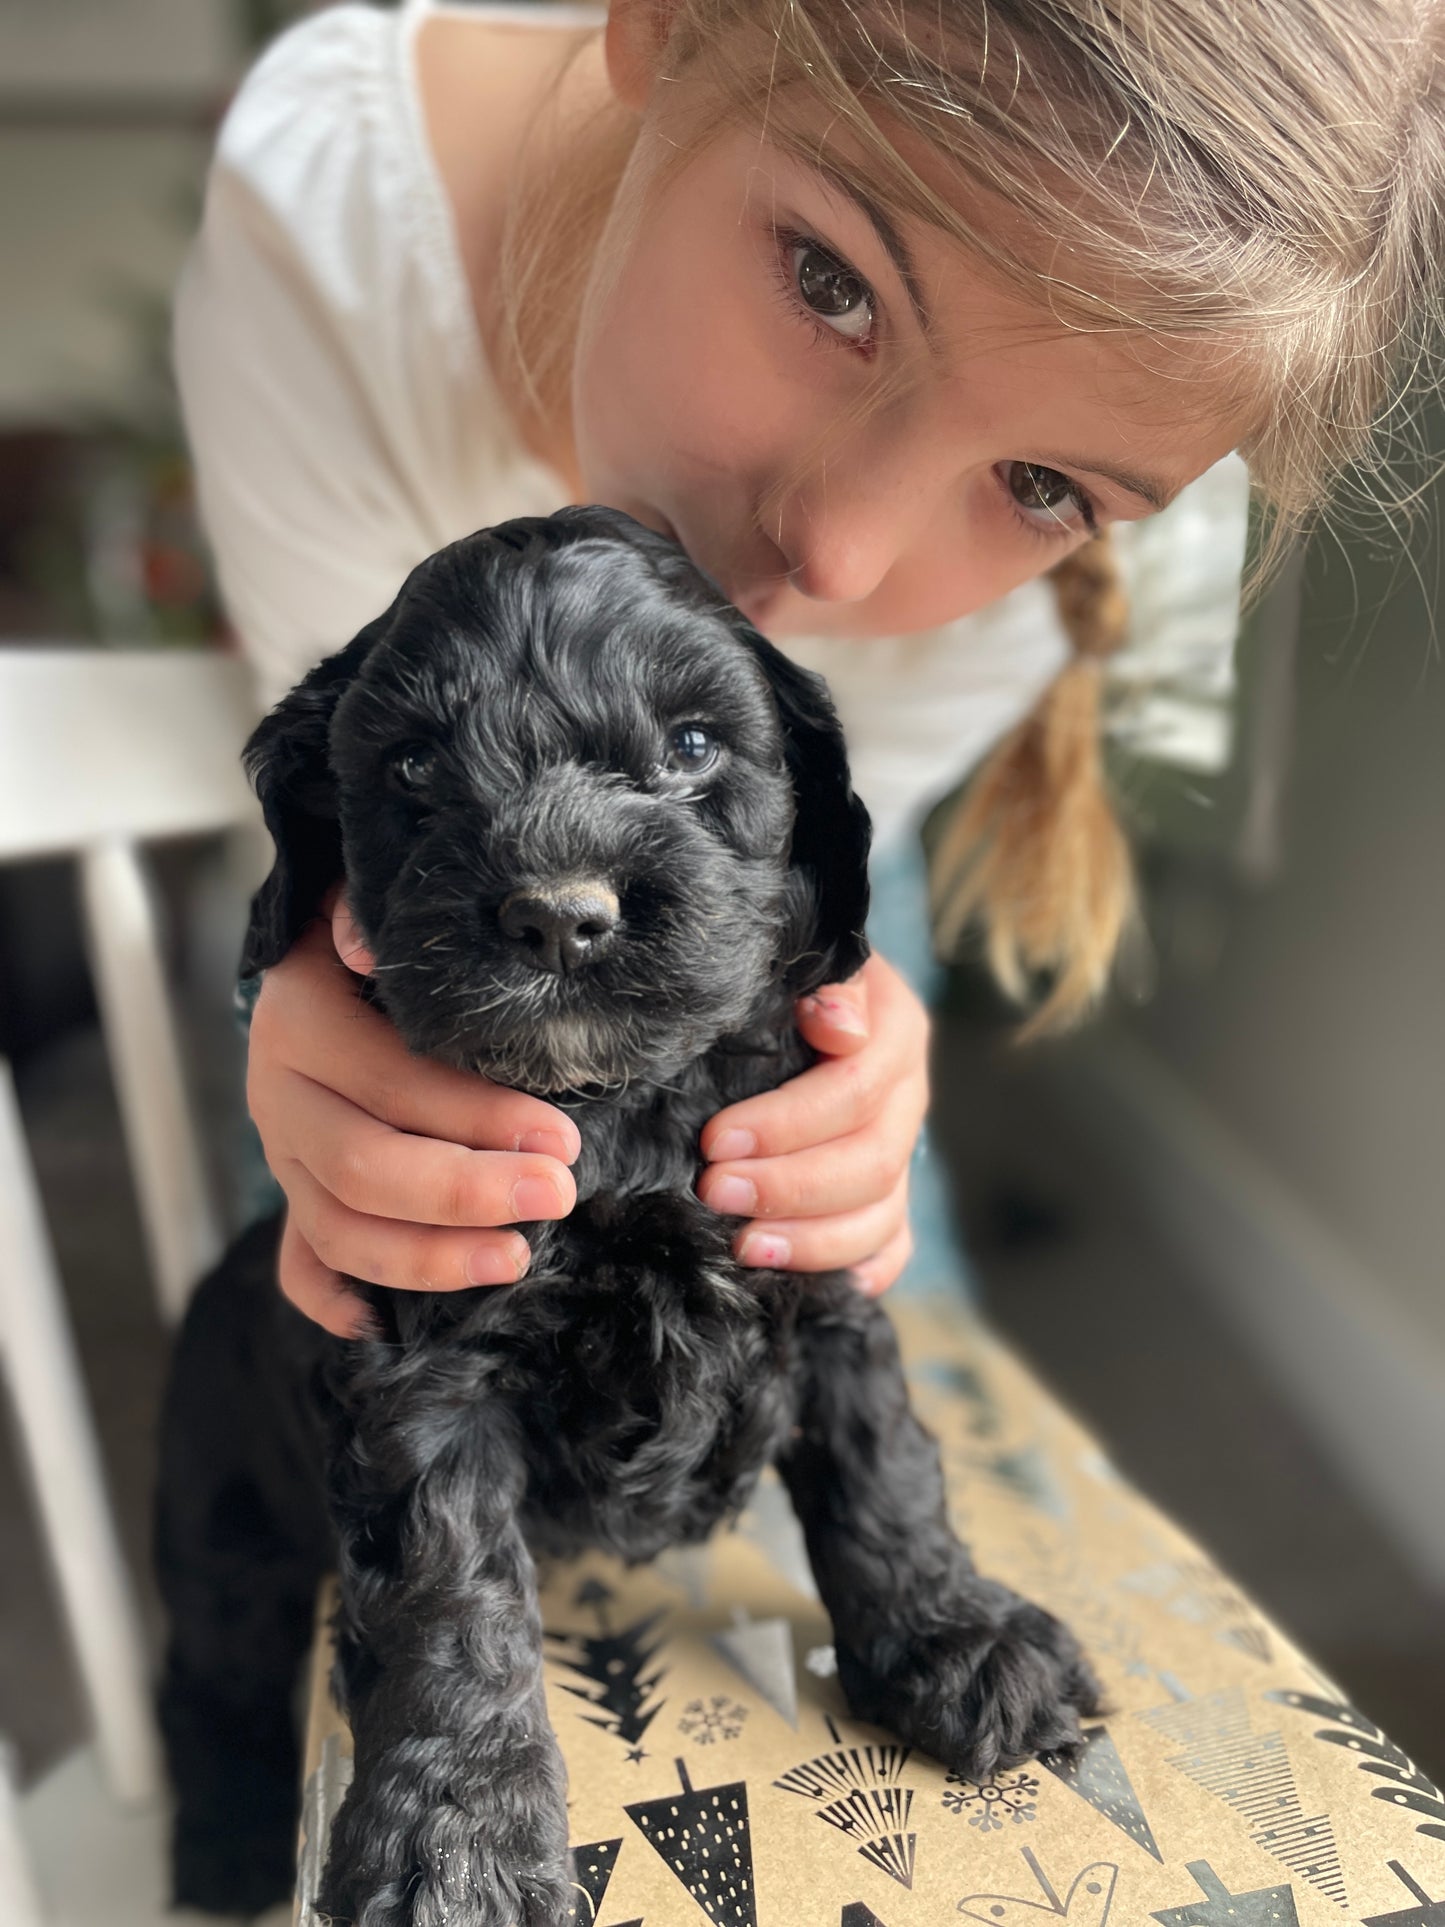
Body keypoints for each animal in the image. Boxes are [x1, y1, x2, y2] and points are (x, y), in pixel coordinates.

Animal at [156, 508, 1094, 1927]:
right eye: (414, 763)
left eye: (695, 745)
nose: (560, 914)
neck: (621, 1107)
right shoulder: (430, 1369)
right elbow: (450, 1598)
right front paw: (457, 1842)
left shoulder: (818, 1271)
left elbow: (883, 1463)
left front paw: (957, 1637)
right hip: (221, 1537)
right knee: (204, 1685)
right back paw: (217, 1851)